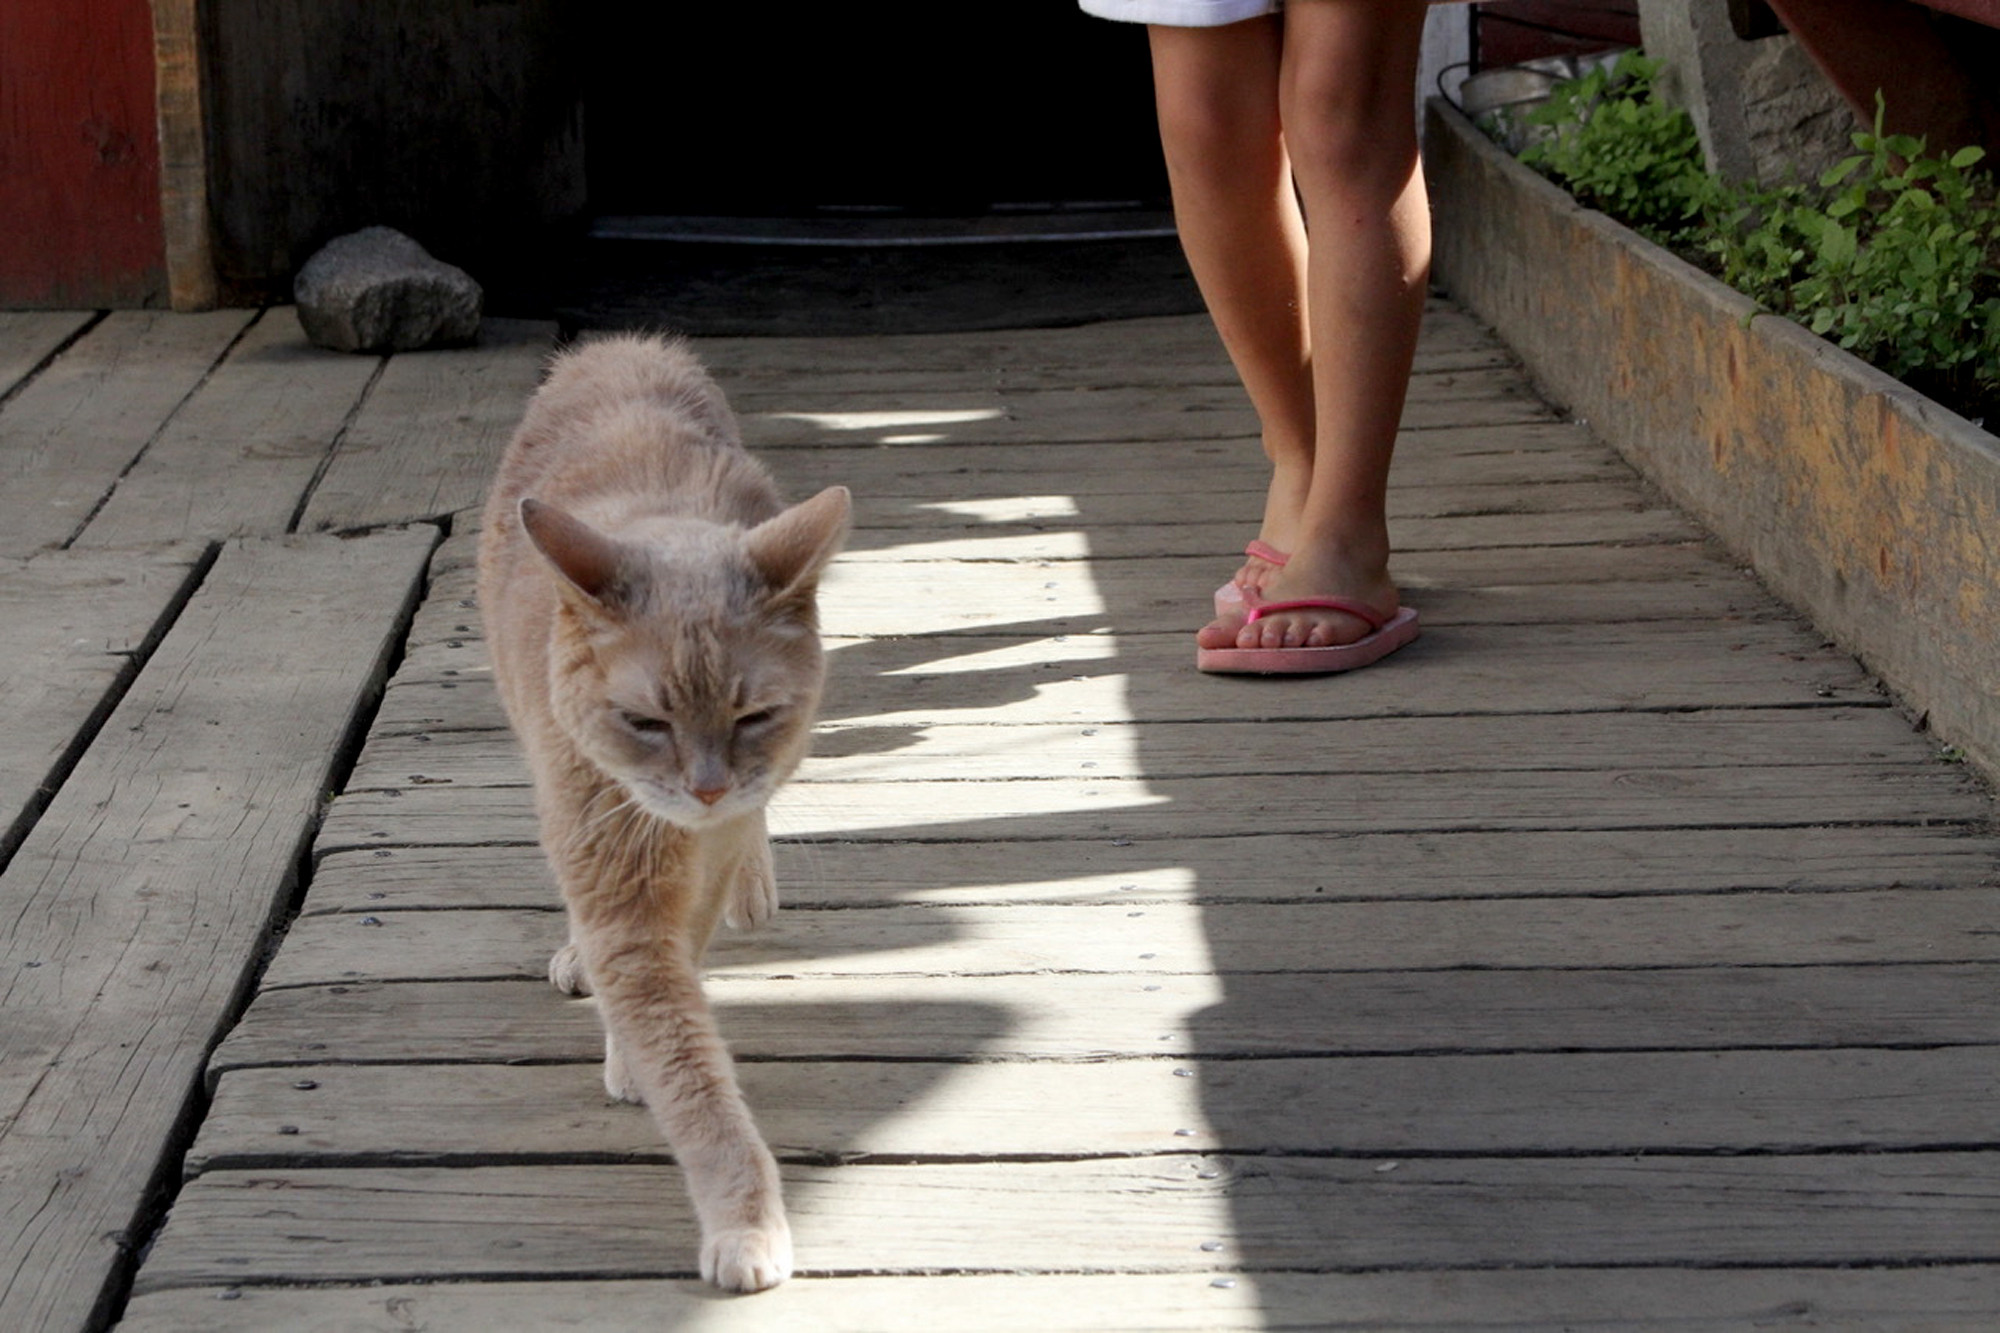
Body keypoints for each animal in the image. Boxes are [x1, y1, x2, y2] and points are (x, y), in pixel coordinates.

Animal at [478, 332, 852, 1288]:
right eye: (647, 722)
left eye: (752, 716)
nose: (710, 785)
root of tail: (619, 345)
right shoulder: (618, 897)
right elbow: (686, 1068)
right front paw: (746, 1219)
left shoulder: (702, 868)